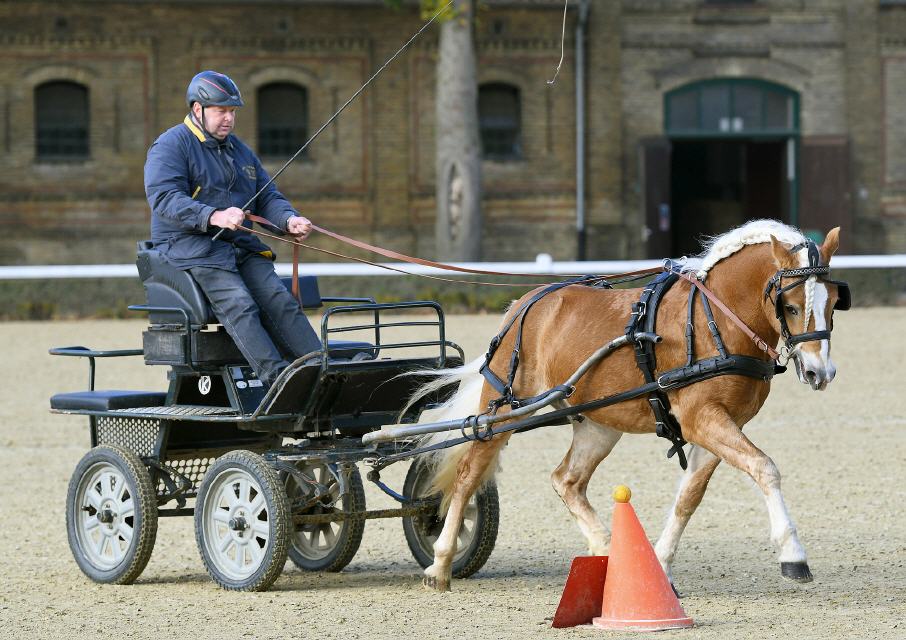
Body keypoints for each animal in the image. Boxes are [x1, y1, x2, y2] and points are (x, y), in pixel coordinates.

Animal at [414, 219, 848, 592]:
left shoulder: (721, 426)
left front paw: (660, 567)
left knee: (566, 480)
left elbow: (688, 498)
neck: (715, 322)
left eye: (832, 304)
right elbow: (765, 468)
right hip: (504, 408)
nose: (820, 372)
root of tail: (526, 302)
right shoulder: (702, 419)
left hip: (600, 423)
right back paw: (440, 563)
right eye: (790, 306)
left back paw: (607, 550)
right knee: (468, 474)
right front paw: (793, 554)